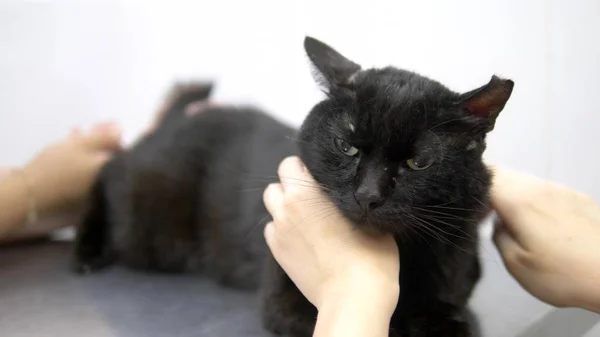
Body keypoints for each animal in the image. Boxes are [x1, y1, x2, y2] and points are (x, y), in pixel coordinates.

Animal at [72, 36, 512, 336]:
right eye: (347, 145)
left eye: (418, 162)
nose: (368, 195)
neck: (403, 255)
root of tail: (180, 118)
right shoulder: (287, 305)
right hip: (147, 217)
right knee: (107, 170)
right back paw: (87, 252)